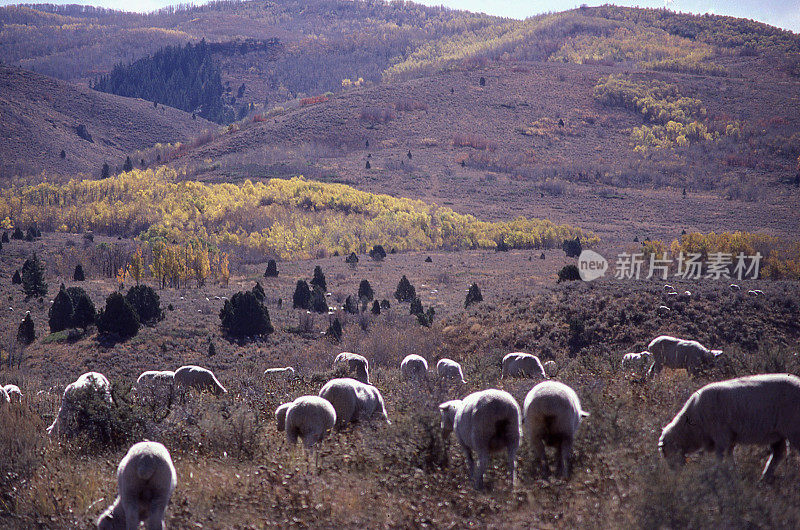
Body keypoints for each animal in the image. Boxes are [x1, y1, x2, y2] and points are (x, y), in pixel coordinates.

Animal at [660, 372, 800, 478]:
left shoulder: (721, 434)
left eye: (666, 452)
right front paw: (732, 473)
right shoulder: (730, 437)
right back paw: (765, 478)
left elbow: (721, 456)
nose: (674, 472)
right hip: (778, 433)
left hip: (794, 428)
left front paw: (719, 474)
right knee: (778, 454)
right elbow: (729, 456)